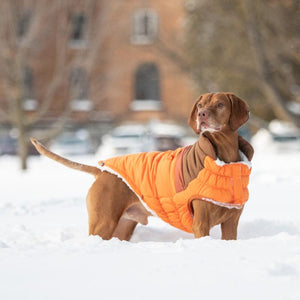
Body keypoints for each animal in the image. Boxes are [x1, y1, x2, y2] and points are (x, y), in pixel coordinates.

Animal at [31, 91, 253, 241]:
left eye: (220, 104)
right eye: (200, 105)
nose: (202, 115)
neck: (226, 162)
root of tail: (102, 170)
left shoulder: (231, 224)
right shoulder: (201, 223)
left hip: (123, 226)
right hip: (103, 222)